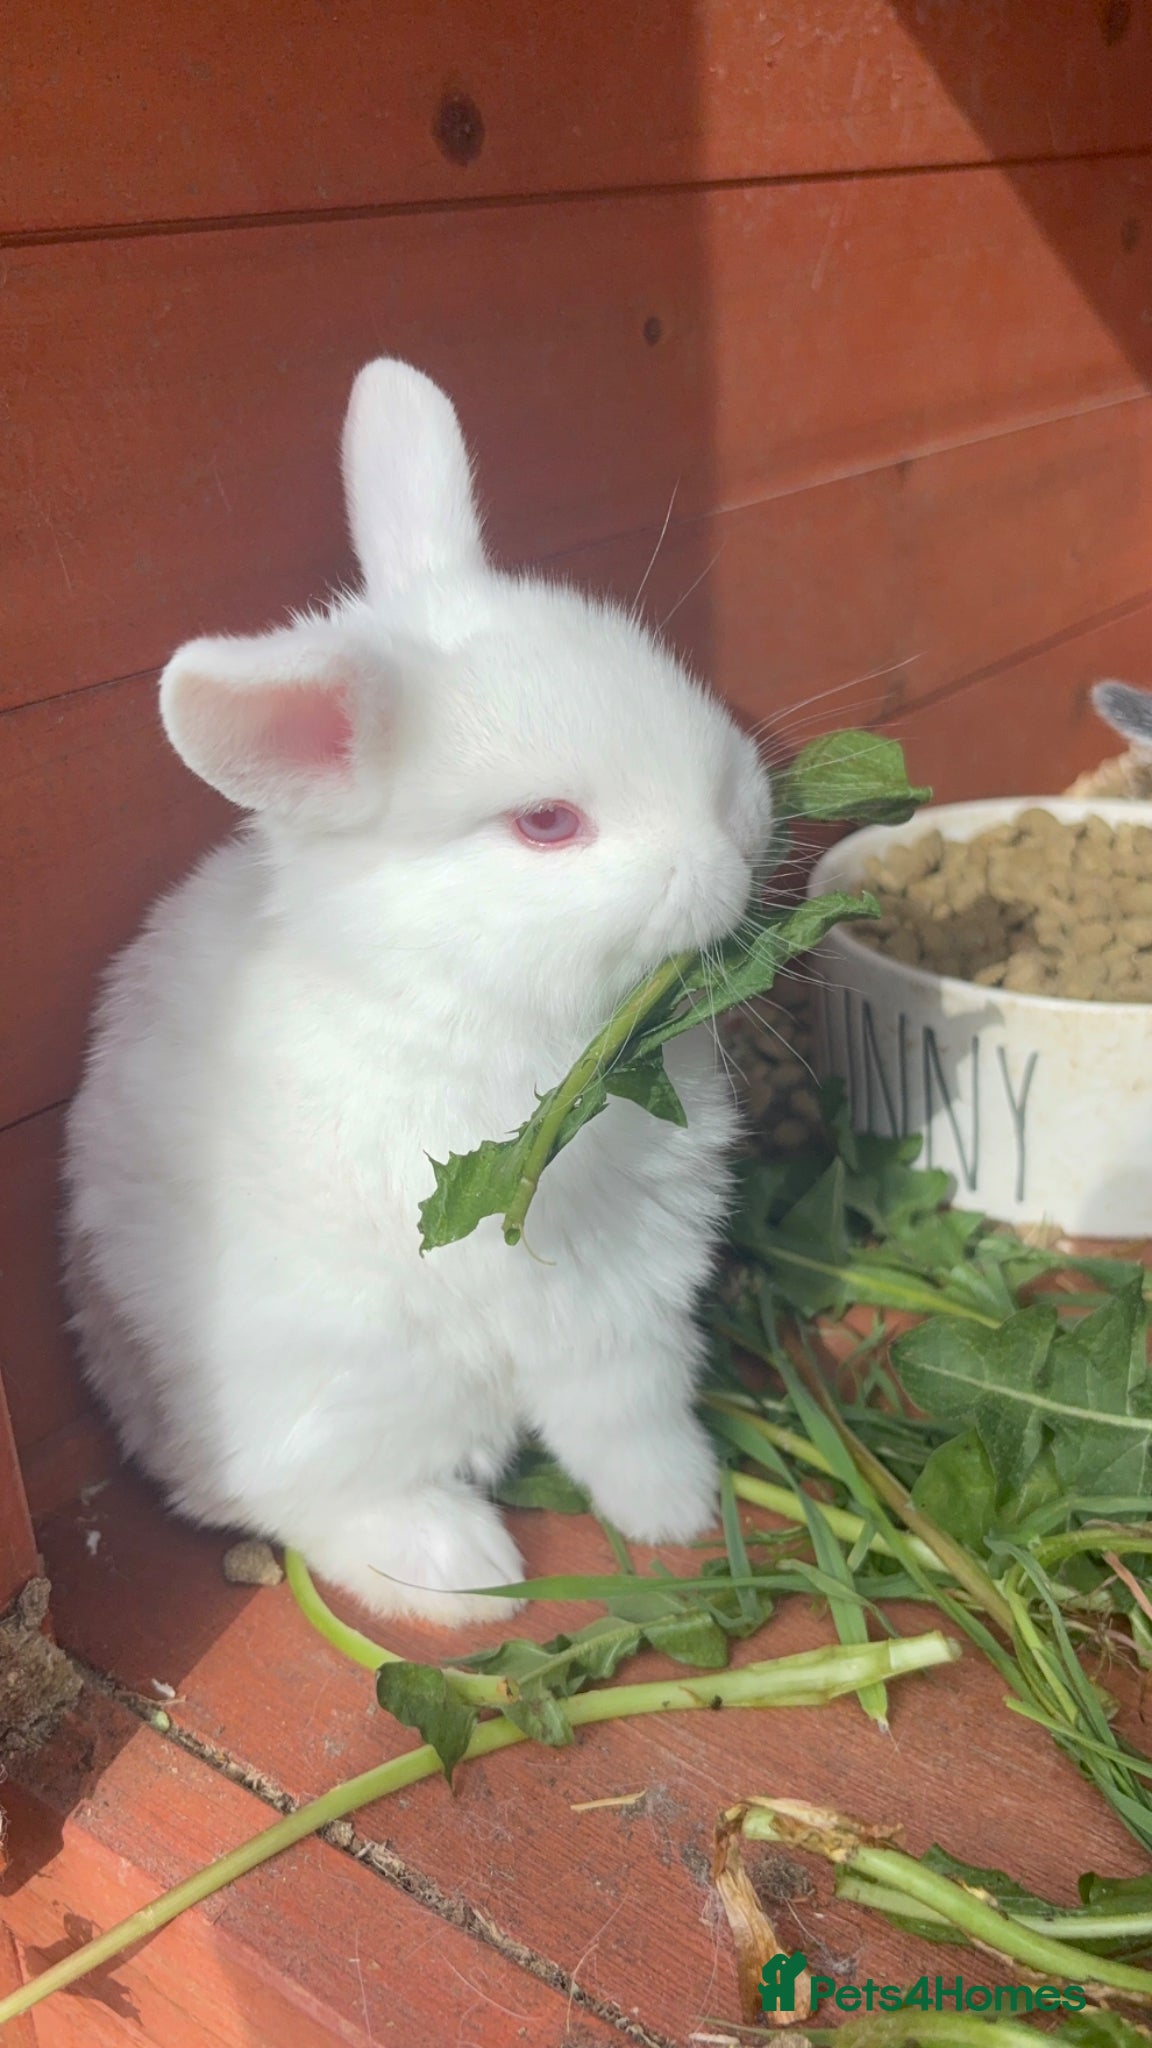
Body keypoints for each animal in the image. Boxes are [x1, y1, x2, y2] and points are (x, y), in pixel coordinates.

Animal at [62, 358, 774, 1626]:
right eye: (546, 823)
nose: (742, 830)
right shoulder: (572, 1287)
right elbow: (614, 1401)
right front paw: (679, 1512)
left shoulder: (642, 1275)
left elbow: (642, 1397)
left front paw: (679, 1504)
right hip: (348, 1388)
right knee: (311, 1505)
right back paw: (469, 1577)